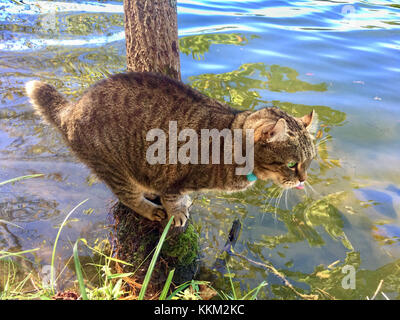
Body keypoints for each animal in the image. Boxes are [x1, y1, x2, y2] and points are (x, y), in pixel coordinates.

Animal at [26, 72, 318, 228]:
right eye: (291, 164)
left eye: (309, 162)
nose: (304, 179)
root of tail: (72, 109)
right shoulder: (174, 178)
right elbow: (173, 198)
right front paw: (176, 212)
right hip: (114, 168)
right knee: (126, 196)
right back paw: (147, 207)